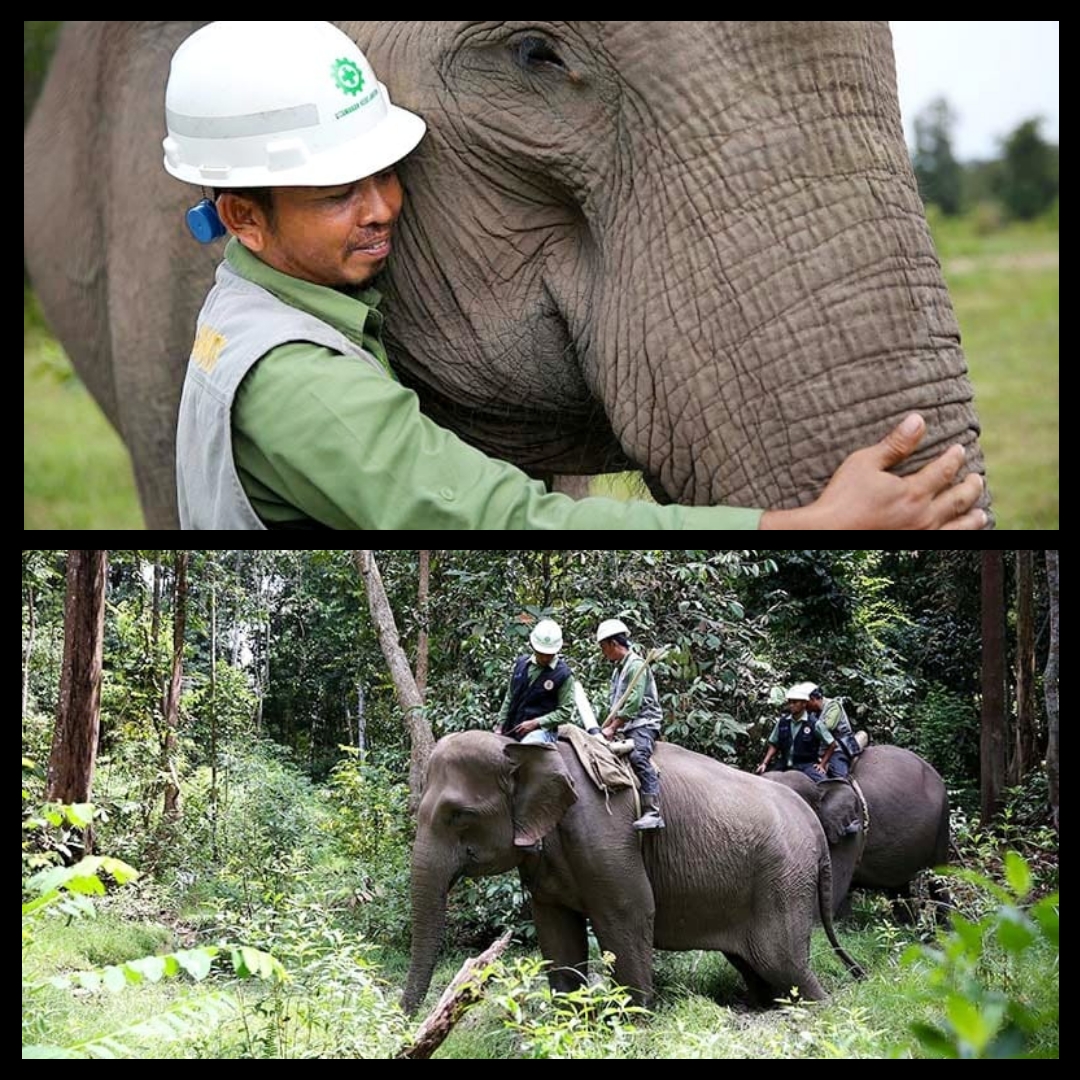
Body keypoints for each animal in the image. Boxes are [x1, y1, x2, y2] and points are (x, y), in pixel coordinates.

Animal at [401, 730, 864, 1015]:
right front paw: (571, 1024)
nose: (405, 1024)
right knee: (756, 964)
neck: (525, 749)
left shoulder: (607, 835)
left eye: (459, 815)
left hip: (784, 879)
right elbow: (555, 930)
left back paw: (824, 1010)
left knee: (782, 961)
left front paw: (636, 1021)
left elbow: (628, 914)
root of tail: (813, 824)